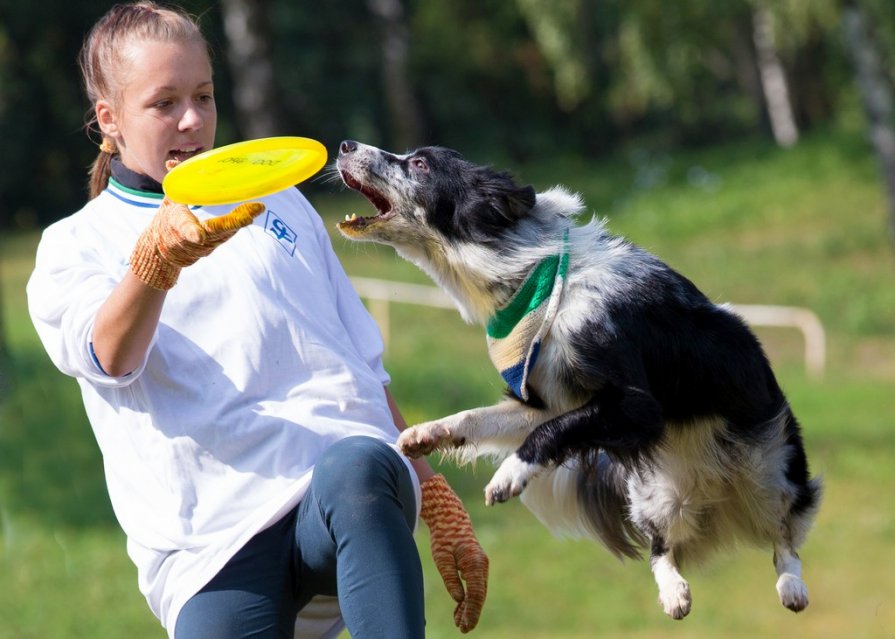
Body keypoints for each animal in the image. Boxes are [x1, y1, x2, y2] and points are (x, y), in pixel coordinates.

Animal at [334, 141, 820, 620]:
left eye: (419, 164)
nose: (344, 145)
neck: (534, 280)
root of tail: (717, 497)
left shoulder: (636, 405)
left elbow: (550, 432)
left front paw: (508, 476)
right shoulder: (550, 400)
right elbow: (484, 418)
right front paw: (428, 433)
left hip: (771, 466)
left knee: (784, 533)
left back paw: (791, 586)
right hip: (656, 494)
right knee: (661, 547)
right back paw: (674, 593)